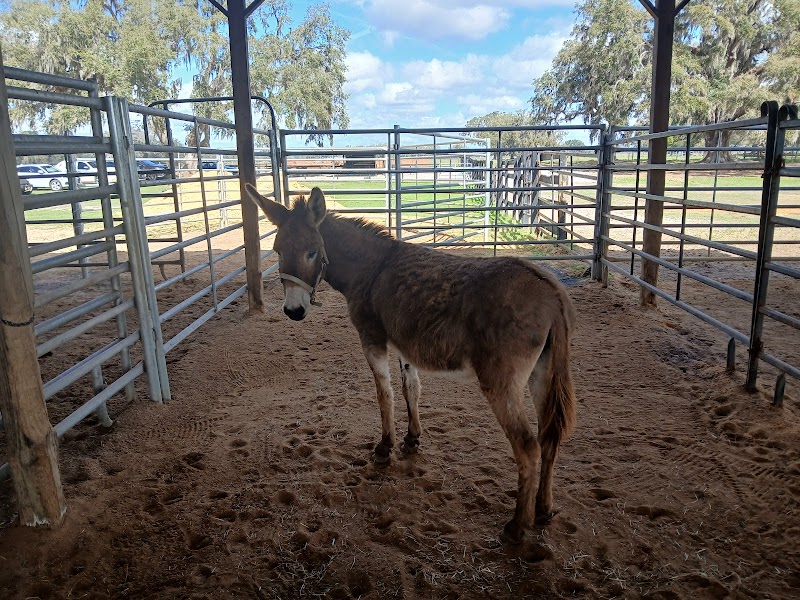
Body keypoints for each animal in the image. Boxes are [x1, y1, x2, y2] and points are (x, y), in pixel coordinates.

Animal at [247, 185, 577, 544]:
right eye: (277, 250)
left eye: (311, 252)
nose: (293, 311)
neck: (371, 267)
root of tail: (550, 291)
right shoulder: (404, 343)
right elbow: (411, 389)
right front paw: (411, 438)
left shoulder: (372, 337)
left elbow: (384, 393)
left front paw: (384, 447)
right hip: (542, 373)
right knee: (549, 436)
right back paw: (544, 509)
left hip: (502, 382)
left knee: (527, 446)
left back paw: (517, 526)